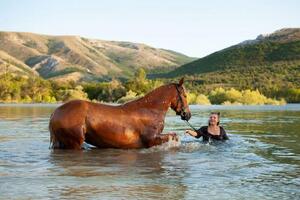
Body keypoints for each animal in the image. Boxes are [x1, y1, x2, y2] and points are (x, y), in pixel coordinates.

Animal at [48, 77, 191, 149]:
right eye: (184, 95)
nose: (187, 114)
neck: (150, 110)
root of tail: (55, 113)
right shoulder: (151, 140)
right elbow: (174, 136)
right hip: (74, 142)